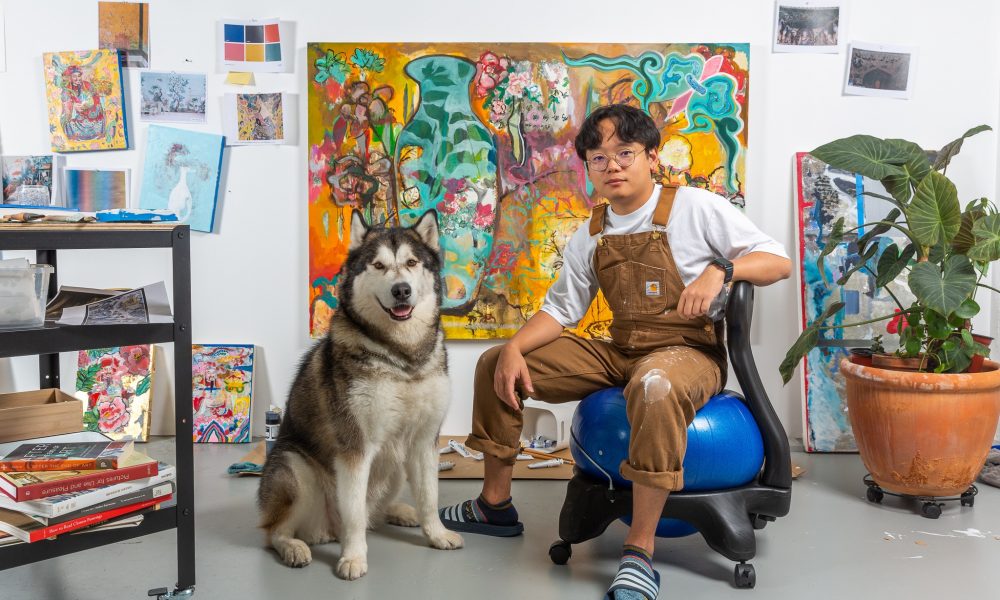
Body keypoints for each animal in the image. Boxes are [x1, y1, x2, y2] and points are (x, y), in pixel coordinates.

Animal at [256, 209, 462, 580]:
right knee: (276, 531)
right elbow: (352, 514)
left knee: (374, 514)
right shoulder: (355, 448)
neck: (402, 357)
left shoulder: (424, 441)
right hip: (294, 468)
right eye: (378, 265)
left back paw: (399, 511)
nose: (401, 290)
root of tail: (324, 530)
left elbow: (429, 498)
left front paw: (436, 534)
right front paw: (353, 558)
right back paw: (294, 547)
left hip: (396, 465)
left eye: (411, 262)